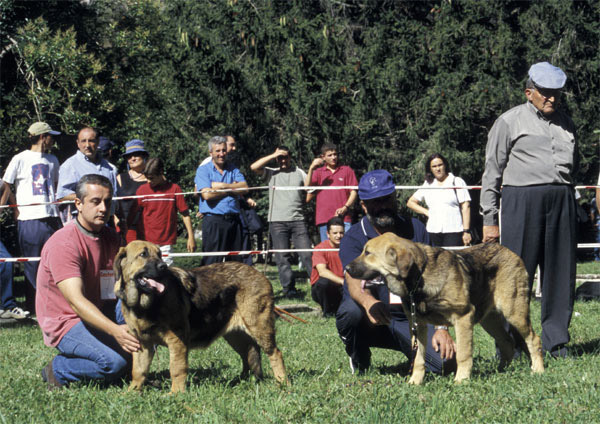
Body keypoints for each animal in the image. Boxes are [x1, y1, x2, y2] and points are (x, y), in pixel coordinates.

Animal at [116, 240, 290, 392]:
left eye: (159, 255)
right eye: (143, 254)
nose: (163, 266)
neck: (143, 304)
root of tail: (260, 274)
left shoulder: (177, 341)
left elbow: (177, 369)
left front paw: (176, 393)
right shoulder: (142, 344)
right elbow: (138, 371)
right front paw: (132, 392)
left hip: (259, 327)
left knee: (275, 353)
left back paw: (282, 382)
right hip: (235, 335)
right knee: (249, 352)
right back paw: (243, 380)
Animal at [344, 232, 548, 384]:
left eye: (368, 253)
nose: (345, 268)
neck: (419, 277)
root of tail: (512, 253)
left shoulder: (463, 318)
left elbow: (463, 355)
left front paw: (461, 381)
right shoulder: (418, 326)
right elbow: (418, 358)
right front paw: (414, 382)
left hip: (514, 313)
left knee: (533, 339)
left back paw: (538, 370)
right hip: (490, 321)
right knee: (507, 343)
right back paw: (500, 371)